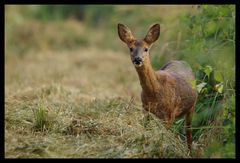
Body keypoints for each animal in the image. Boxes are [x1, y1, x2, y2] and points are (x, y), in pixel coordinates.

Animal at [117, 23, 198, 153]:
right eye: (131, 48)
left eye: (146, 49)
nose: (138, 59)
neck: (155, 92)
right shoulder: (145, 110)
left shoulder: (169, 114)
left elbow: (163, 135)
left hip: (192, 107)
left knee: (189, 133)